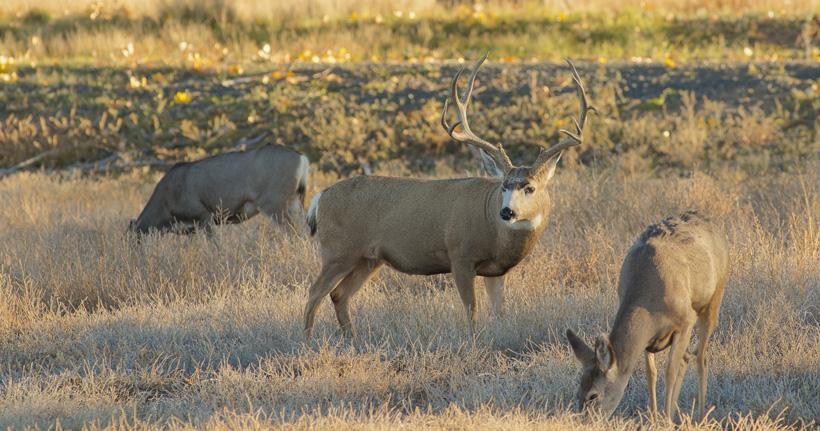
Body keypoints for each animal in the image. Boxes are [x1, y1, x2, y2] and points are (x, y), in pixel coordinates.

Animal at [130, 144, 309, 235]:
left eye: (134, 239)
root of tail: (302, 158)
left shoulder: (203, 214)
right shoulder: (190, 229)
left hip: (274, 203)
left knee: (293, 232)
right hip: (295, 201)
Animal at [303, 55, 595, 339]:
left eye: (530, 188)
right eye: (503, 186)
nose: (507, 212)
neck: (494, 231)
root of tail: (320, 198)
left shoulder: (496, 270)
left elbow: (500, 312)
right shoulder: (460, 255)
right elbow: (471, 309)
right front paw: (473, 342)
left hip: (368, 258)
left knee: (339, 294)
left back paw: (352, 339)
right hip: (338, 249)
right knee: (315, 292)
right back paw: (307, 339)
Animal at [566, 210, 729, 421]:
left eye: (593, 395)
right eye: (578, 391)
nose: (583, 421)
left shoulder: (686, 321)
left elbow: (670, 371)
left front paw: (665, 420)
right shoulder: (648, 339)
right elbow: (651, 373)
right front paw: (654, 418)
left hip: (714, 299)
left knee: (701, 357)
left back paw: (701, 418)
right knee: (687, 357)